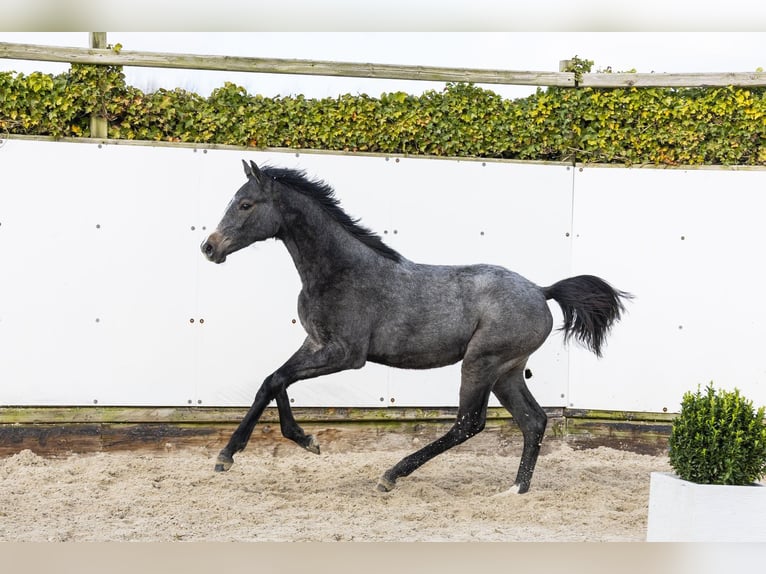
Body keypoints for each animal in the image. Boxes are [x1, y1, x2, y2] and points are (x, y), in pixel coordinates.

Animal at [201, 160, 631, 494]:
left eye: (245, 204)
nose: (209, 247)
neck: (339, 271)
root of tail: (543, 291)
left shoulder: (345, 353)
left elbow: (278, 380)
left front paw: (291, 443)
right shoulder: (314, 343)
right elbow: (271, 381)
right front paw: (250, 450)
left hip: (481, 363)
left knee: (469, 423)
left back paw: (391, 476)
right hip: (507, 371)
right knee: (533, 421)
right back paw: (515, 490)